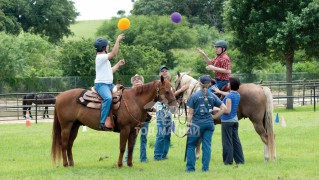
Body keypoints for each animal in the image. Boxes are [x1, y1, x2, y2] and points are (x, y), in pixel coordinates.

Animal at [51, 76, 179, 168]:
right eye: (167, 91)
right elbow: (122, 147)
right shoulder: (125, 129)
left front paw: (130, 164)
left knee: (69, 145)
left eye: (173, 89)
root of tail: (60, 96)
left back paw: (72, 164)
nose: (176, 107)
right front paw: (120, 164)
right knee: (64, 144)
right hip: (66, 126)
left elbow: (130, 147)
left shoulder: (134, 130)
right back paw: (65, 164)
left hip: (75, 126)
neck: (134, 101)